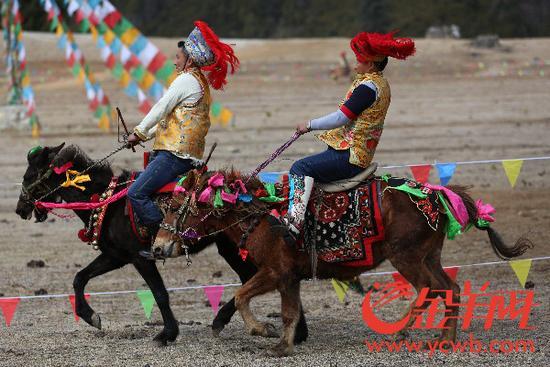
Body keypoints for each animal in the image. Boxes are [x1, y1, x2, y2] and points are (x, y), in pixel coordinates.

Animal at [14, 144, 306, 344]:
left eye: (29, 176)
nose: (20, 209)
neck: (109, 202)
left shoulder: (140, 257)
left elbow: (159, 293)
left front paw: (167, 333)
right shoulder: (116, 256)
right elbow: (79, 278)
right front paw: (92, 317)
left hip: (233, 249)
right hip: (231, 248)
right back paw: (295, 330)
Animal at [154, 170, 536, 356]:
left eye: (175, 207)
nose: (157, 247)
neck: (262, 215)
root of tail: (437, 195)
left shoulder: (276, 272)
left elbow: (243, 297)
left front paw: (266, 334)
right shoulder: (289, 277)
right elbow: (287, 311)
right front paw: (281, 343)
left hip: (407, 256)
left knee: (431, 289)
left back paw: (405, 332)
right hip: (429, 255)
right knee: (450, 288)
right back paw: (444, 338)